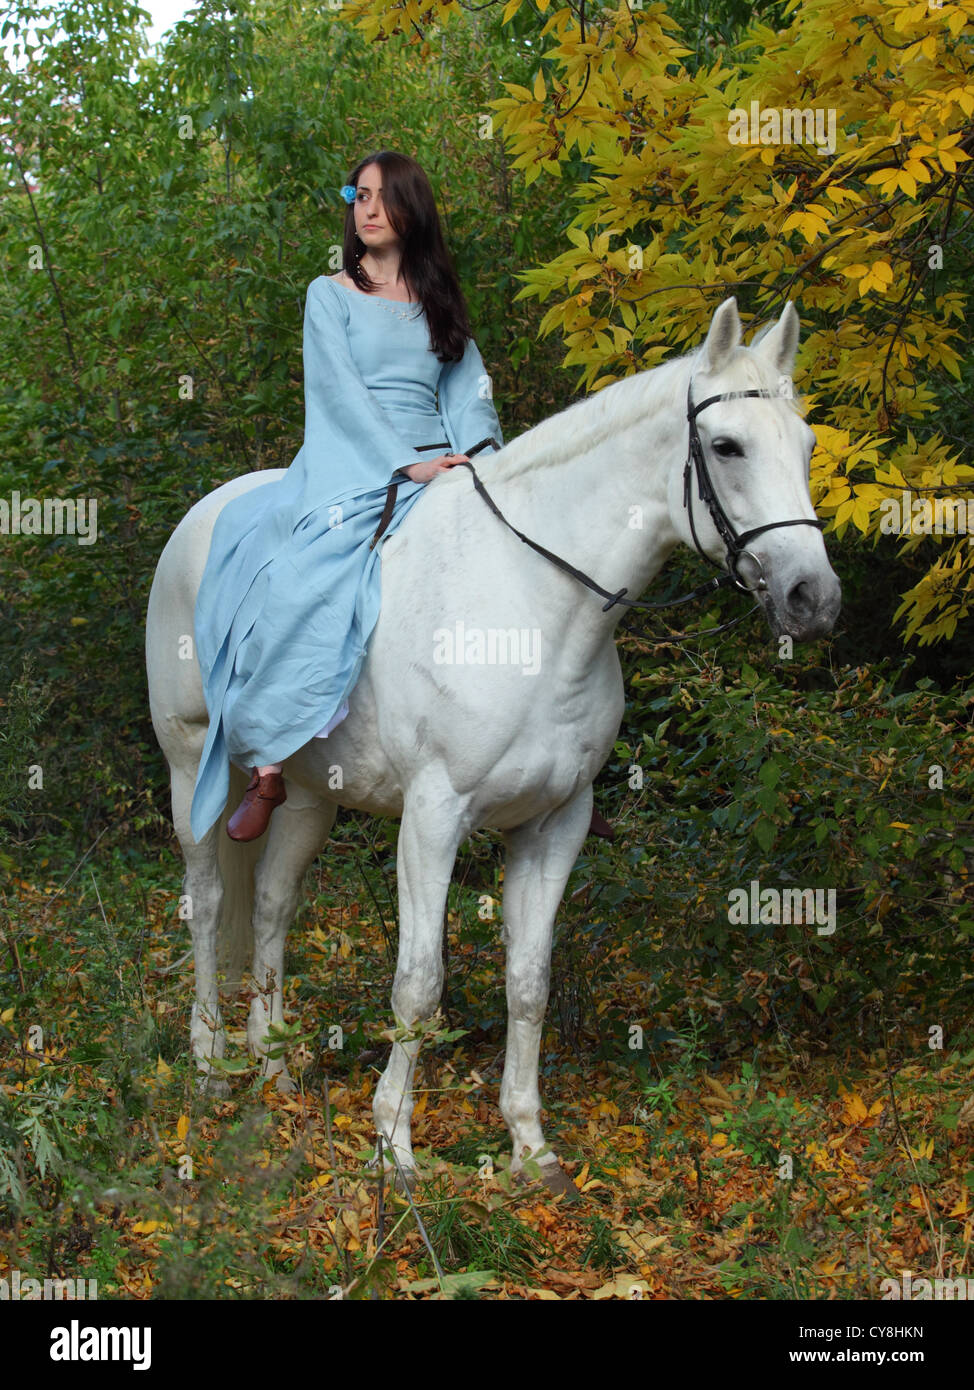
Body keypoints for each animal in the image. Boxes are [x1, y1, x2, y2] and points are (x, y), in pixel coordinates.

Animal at [145, 296, 841, 1193]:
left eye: (808, 445)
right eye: (727, 447)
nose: (812, 597)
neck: (532, 605)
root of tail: (207, 513)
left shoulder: (555, 824)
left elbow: (530, 981)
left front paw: (528, 1146)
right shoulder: (434, 819)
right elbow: (419, 983)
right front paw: (394, 1146)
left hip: (306, 795)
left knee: (270, 902)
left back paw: (275, 1063)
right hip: (191, 766)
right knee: (207, 902)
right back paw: (209, 1061)